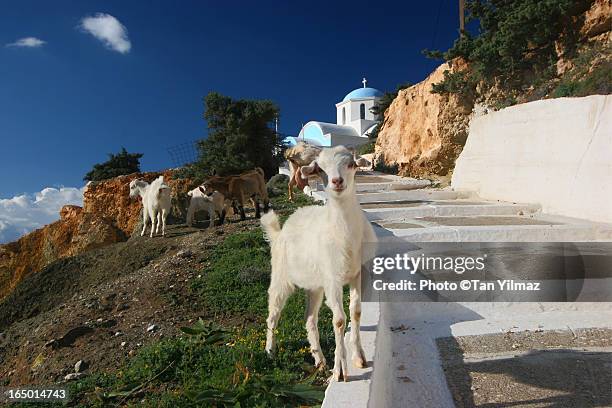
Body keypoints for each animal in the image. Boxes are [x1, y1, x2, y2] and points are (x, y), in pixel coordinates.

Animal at [260, 145, 376, 380]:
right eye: (320, 169)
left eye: (351, 164)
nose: (337, 181)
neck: (344, 236)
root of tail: (279, 233)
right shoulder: (333, 279)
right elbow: (339, 320)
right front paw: (341, 371)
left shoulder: (357, 273)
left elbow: (356, 311)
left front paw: (358, 357)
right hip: (281, 276)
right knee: (273, 314)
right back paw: (270, 351)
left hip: (315, 285)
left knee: (309, 319)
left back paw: (320, 360)